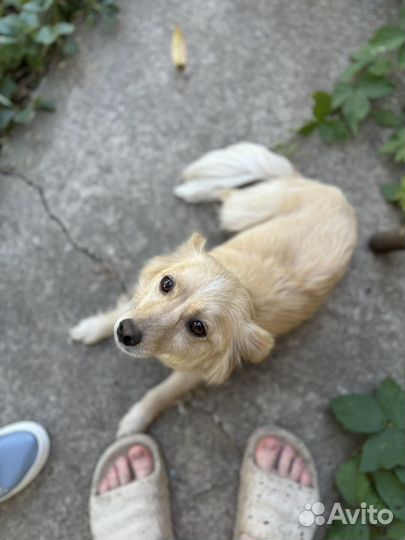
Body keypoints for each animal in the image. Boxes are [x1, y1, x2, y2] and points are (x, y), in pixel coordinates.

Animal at [71, 141, 356, 436]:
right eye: (166, 283)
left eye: (198, 327)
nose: (125, 332)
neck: (246, 289)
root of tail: (338, 197)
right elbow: (119, 310)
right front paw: (93, 327)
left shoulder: (193, 374)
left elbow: (161, 393)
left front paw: (137, 418)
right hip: (240, 213)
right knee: (226, 191)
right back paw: (190, 191)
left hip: (240, 211)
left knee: (227, 192)